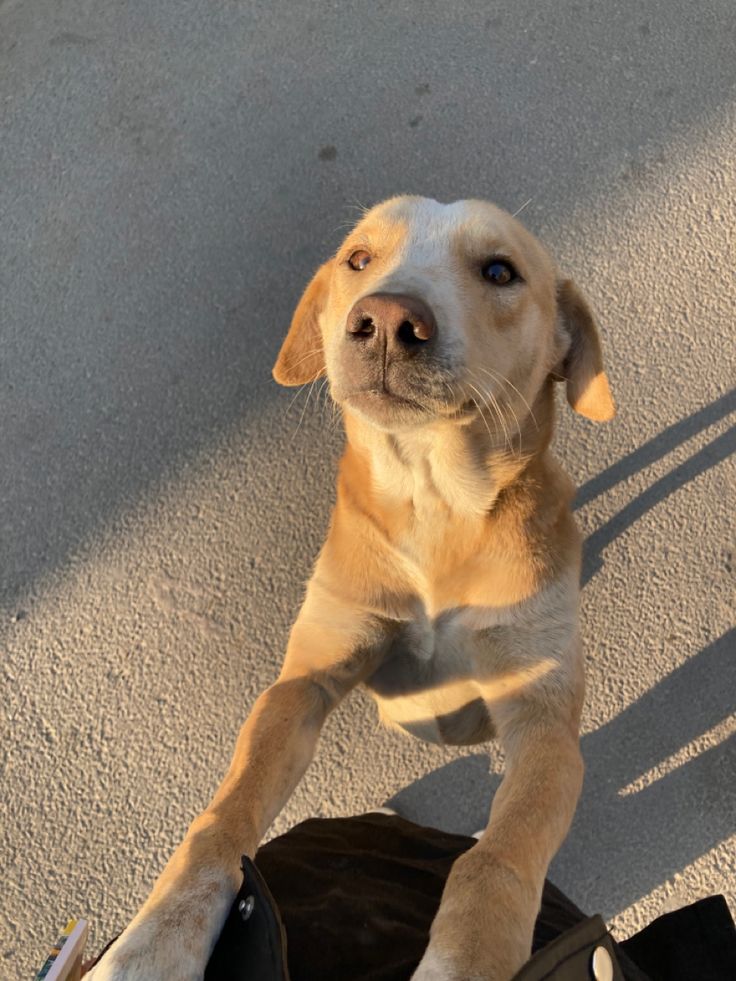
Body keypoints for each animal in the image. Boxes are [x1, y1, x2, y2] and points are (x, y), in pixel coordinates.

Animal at [87, 197, 616, 980]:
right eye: (358, 258)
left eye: (500, 271)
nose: (389, 319)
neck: (434, 505)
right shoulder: (301, 684)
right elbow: (224, 816)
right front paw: (153, 942)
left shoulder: (543, 725)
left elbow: (495, 860)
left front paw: (461, 960)